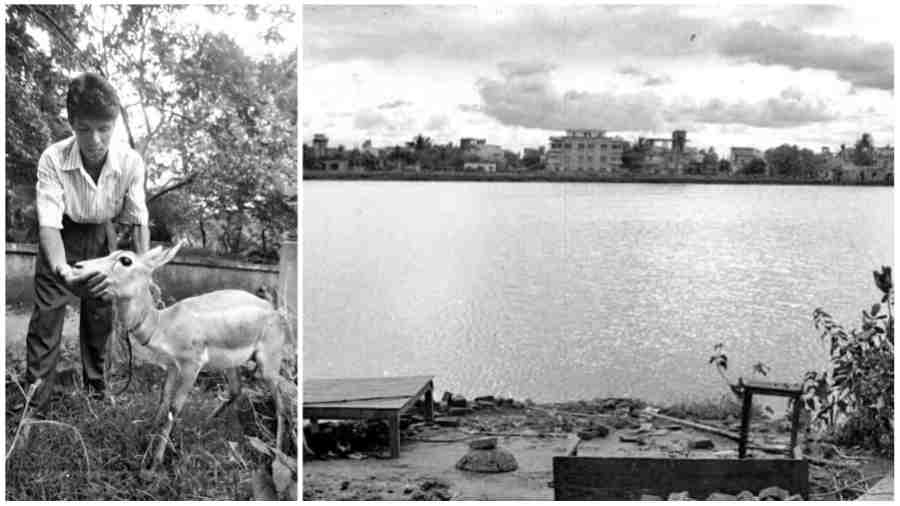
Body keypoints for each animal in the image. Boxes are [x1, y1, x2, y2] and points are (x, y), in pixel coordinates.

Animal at [75, 241, 292, 470]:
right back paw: (205, 424)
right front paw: (147, 436)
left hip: (268, 364)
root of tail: (276, 311)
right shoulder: (172, 366)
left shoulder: (191, 366)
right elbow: (163, 400)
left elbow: (173, 408)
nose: (78, 266)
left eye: (126, 259)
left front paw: (153, 464)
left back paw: (278, 457)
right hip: (230, 364)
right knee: (236, 390)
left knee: (282, 407)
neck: (162, 324)